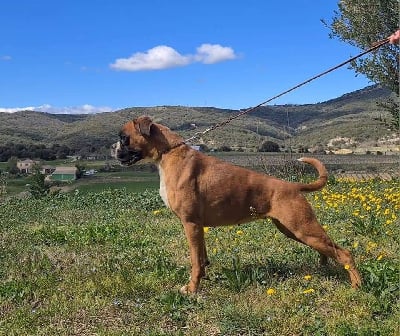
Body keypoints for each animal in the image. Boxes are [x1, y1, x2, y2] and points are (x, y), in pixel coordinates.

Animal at [111, 116, 360, 294]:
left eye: (124, 138)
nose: (114, 150)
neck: (169, 152)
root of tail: (292, 186)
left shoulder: (190, 224)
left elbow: (194, 261)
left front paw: (192, 289)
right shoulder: (198, 228)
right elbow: (201, 258)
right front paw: (203, 276)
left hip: (303, 228)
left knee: (345, 253)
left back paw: (357, 286)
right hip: (294, 230)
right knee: (328, 250)